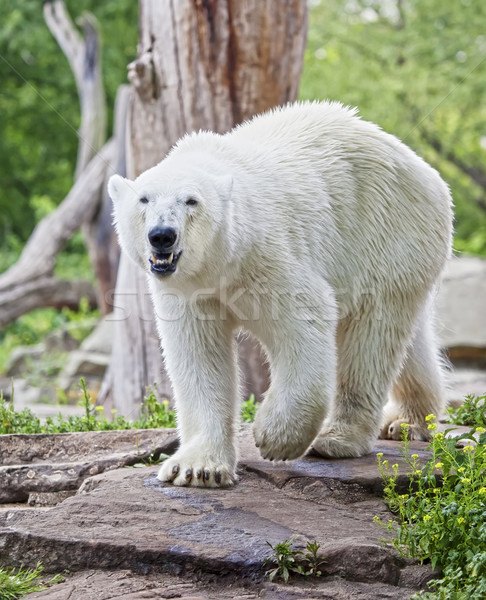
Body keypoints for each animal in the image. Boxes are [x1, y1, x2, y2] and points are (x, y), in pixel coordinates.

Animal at [108, 102, 454, 488]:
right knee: (406, 338)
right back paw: (407, 421)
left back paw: (338, 438)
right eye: (143, 199)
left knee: (370, 337)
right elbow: (198, 358)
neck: (222, 264)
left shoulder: (265, 253)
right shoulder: (189, 291)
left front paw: (275, 437)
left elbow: (304, 321)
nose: (162, 235)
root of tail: (426, 171)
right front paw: (198, 468)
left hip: (386, 231)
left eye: (191, 201)